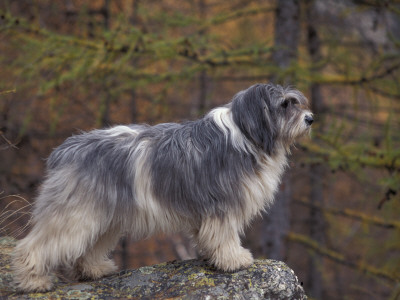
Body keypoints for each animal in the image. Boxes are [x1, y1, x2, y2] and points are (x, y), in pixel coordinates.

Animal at [11, 83, 312, 292]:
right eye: (285, 105)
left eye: (295, 102)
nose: (310, 118)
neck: (246, 135)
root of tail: (65, 150)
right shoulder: (222, 205)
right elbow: (224, 235)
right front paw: (234, 259)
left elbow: (207, 236)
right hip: (74, 213)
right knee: (35, 245)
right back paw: (34, 281)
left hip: (103, 215)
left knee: (90, 247)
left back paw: (95, 269)